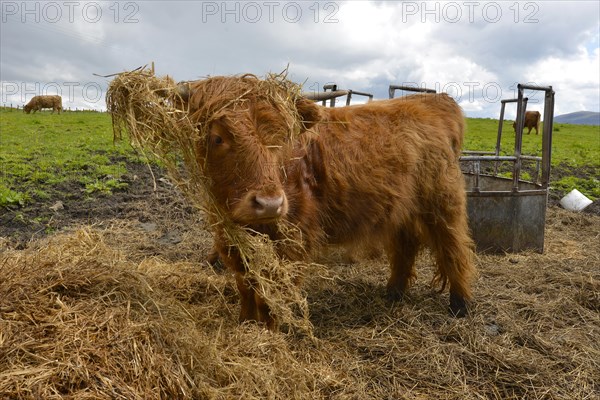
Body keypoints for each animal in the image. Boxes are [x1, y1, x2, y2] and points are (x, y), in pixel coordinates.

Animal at [183, 75, 474, 328]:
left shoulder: (293, 242)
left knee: (454, 247)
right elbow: (246, 286)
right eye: (218, 138)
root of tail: (434, 101)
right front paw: (246, 324)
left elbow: (272, 295)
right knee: (407, 244)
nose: (269, 203)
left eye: (284, 138)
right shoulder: (231, 239)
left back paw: (460, 304)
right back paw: (394, 292)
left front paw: (270, 333)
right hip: (402, 209)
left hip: (443, 204)